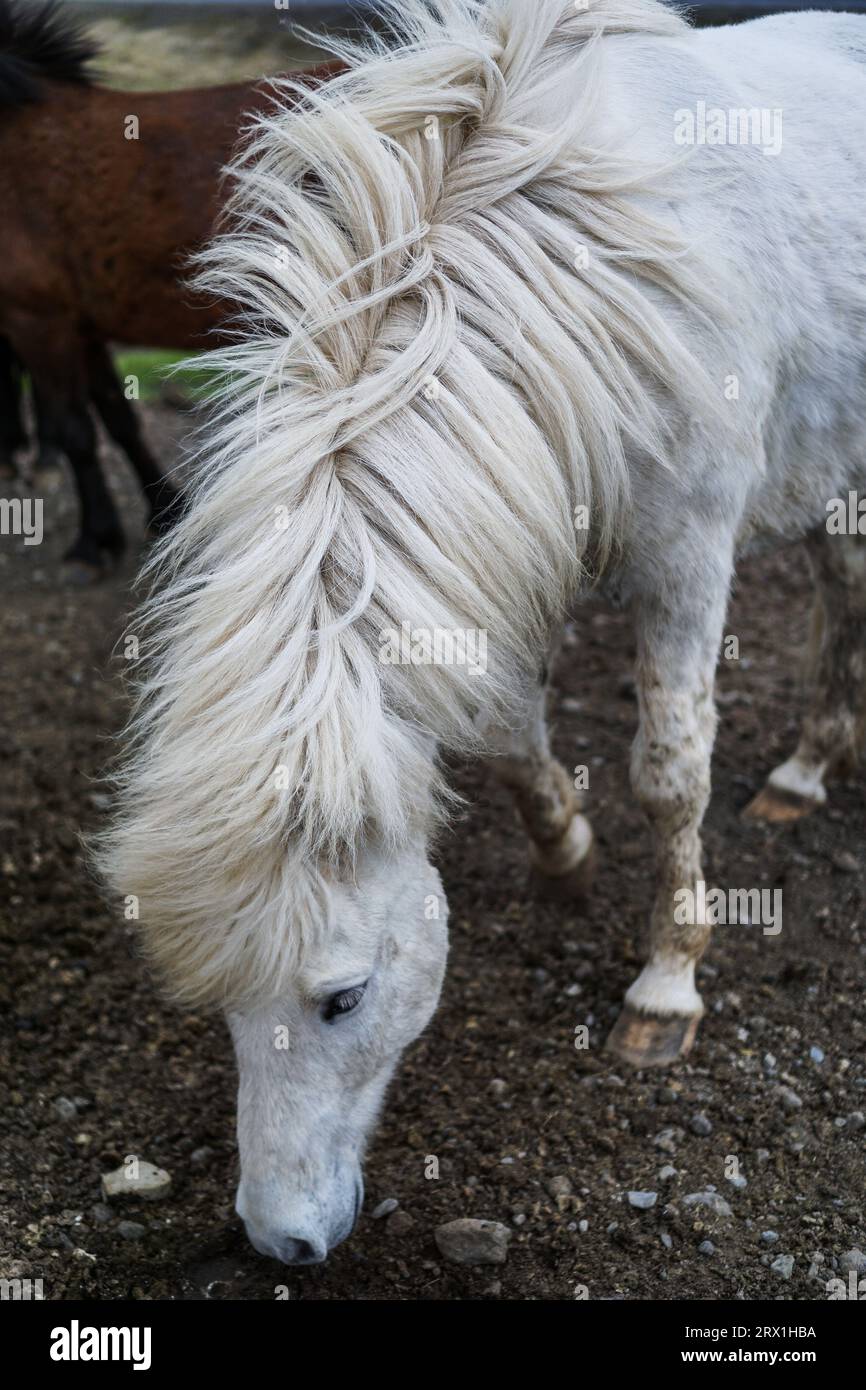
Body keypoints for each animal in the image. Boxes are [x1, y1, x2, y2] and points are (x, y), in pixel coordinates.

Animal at [0, 0, 339, 577]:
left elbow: (76, 432)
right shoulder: (82, 324)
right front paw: (163, 512)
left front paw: (93, 541)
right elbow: (118, 420)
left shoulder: (37, 321)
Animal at [100, 0, 866, 1265]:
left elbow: (668, 771)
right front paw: (564, 855)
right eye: (222, 1005)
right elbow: (510, 740)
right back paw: (805, 769)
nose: (278, 1239)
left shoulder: (687, 555)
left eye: (342, 997)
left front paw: (665, 985)